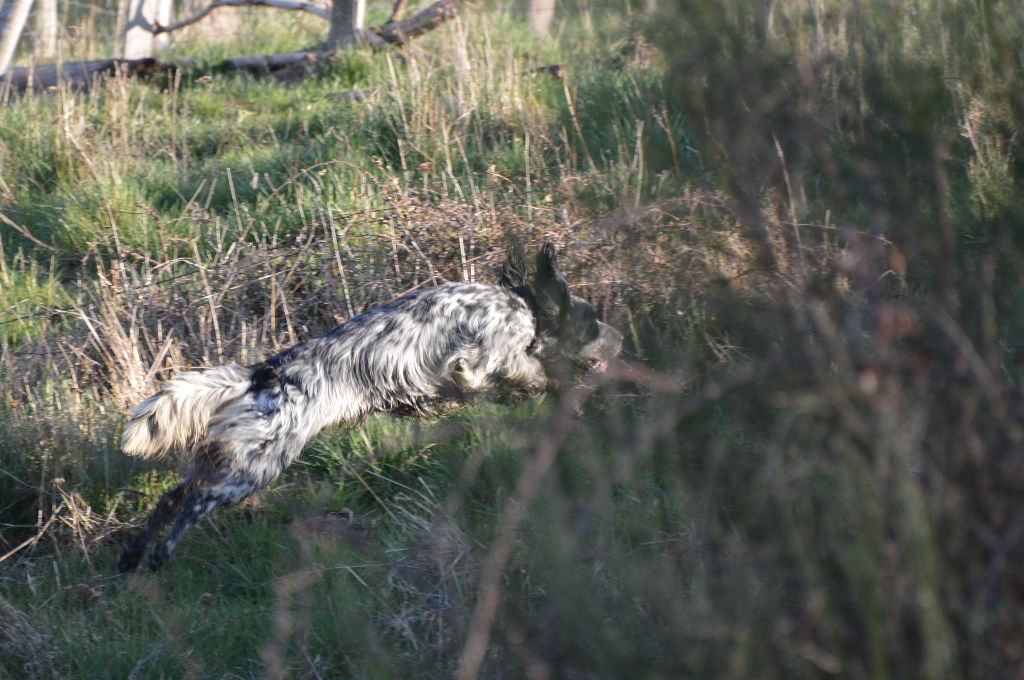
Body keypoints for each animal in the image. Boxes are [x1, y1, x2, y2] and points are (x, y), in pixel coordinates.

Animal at [116, 241, 618, 569]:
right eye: (592, 323)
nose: (622, 339)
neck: (522, 305)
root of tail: (264, 373)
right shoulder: (482, 356)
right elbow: (523, 373)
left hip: (223, 459)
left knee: (171, 497)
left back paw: (134, 554)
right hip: (254, 468)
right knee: (191, 504)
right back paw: (158, 555)